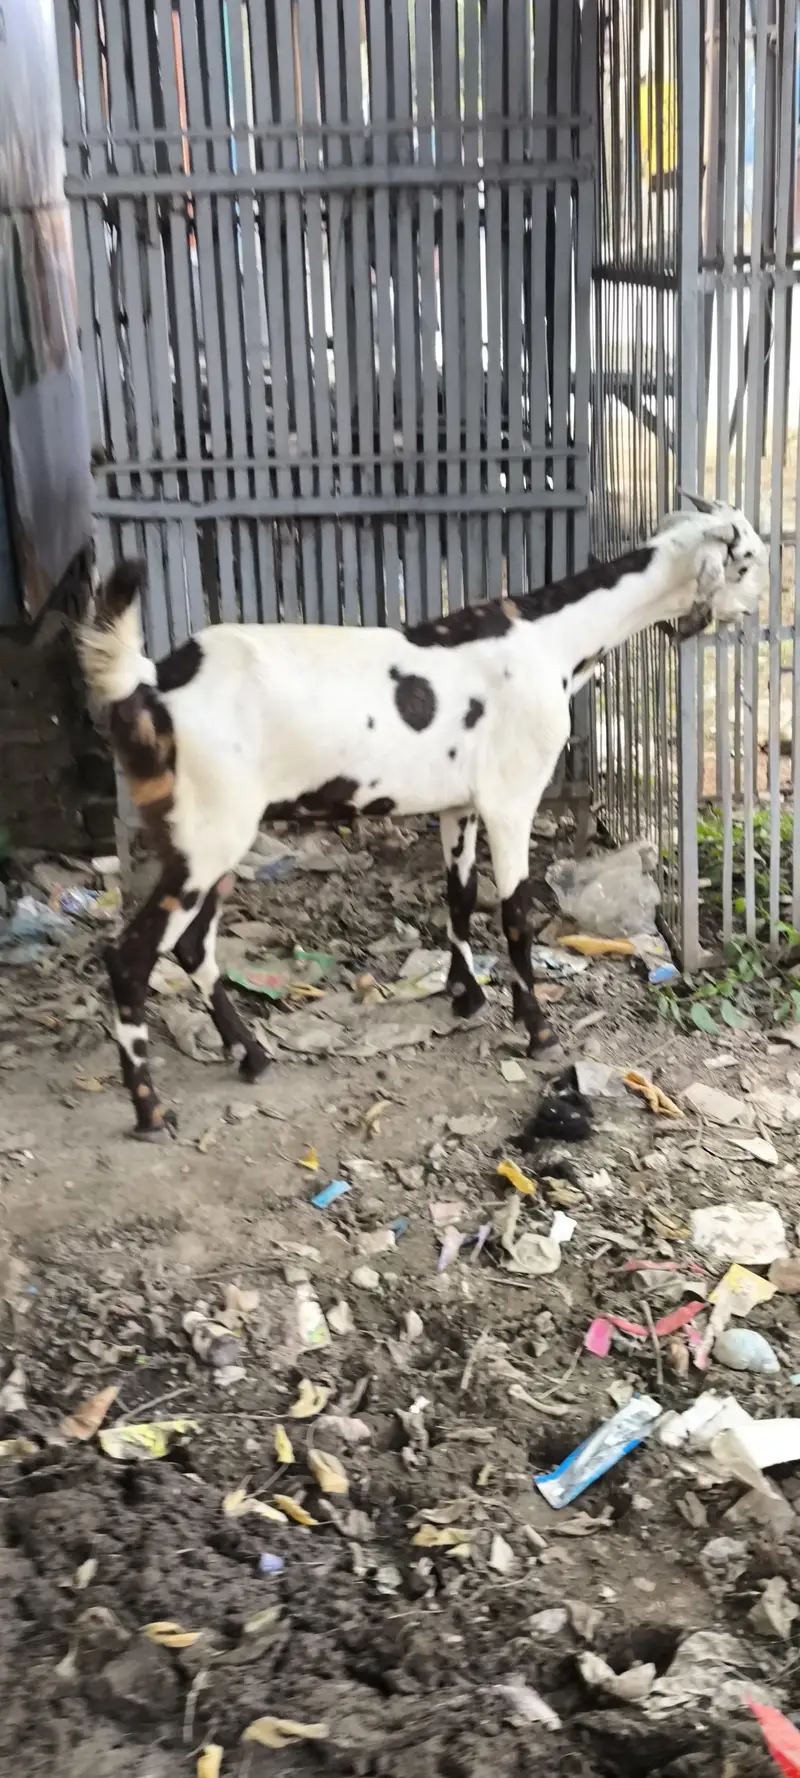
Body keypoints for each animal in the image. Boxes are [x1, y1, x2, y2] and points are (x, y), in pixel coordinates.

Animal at [79, 497, 766, 1139]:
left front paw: (465, 995)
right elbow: (515, 915)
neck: (552, 637)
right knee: (131, 959)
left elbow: (458, 898)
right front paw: (538, 1031)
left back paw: (250, 1055)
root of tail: (152, 683)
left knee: (191, 946)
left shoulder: (459, 805)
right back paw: (150, 1109)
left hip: (205, 839)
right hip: (210, 833)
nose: (762, 608)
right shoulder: (512, 799)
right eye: (748, 560)